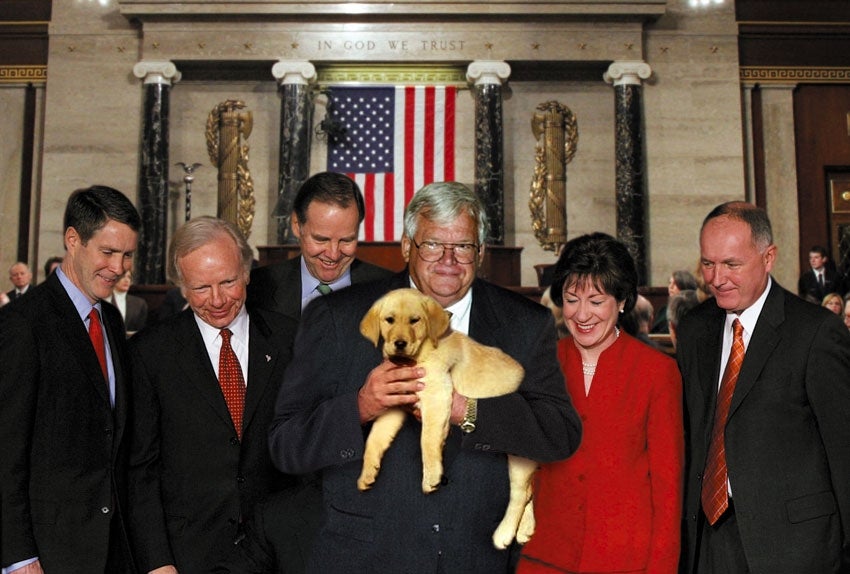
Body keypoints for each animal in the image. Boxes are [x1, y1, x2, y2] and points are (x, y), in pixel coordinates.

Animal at [358, 290, 536, 552]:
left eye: (415, 320)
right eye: (389, 320)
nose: (399, 344)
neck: (418, 356)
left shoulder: (437, 397)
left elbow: (427, 441)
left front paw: (431, 477)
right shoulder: (394, 402)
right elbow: (374, 440)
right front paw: (367, 473)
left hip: (518, 456)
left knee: (520, 493)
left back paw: (504, 534)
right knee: (531, 490)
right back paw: (525, 529)